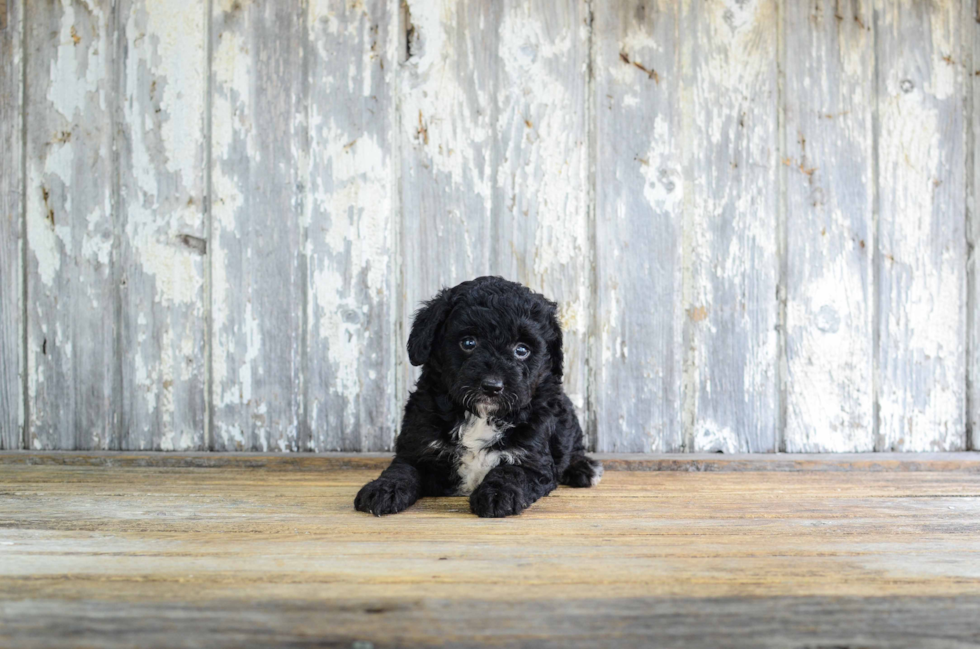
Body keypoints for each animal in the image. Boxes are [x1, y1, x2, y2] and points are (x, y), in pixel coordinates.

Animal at [352, 276, 596, 520]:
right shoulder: (418, 447)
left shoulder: (533, 458)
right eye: (468, 343)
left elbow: (511, 471)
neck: (480, 415)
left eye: (522, 350)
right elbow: (403, 469)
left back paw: (584, 468)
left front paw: (498, 495)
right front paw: (384, 490)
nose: (492, 386)